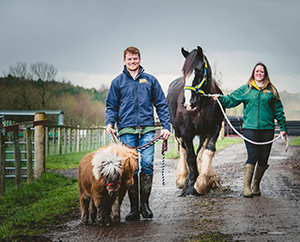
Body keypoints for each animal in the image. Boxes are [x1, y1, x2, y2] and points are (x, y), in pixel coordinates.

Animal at [168, 45, 224, 197]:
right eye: (184, 72)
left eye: (198, 71)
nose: (187, 103)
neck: (201, 105)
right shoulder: (186, 132)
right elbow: (190, 157)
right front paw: (189, 185)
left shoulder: (214, 129)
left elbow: (207, 151)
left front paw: (203, 181)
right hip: (178, 133)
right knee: (183, 151)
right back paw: (182, 178)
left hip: (202, 133)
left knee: (199, 152)